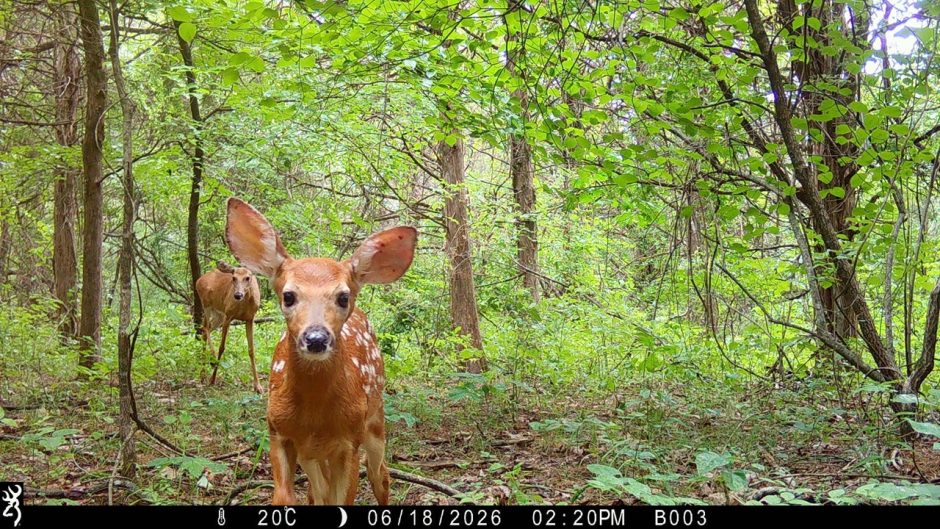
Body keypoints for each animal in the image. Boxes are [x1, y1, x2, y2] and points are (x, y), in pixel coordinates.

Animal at [196, 260, 263, 393]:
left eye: (248, 278)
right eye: (233, 278)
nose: (237, 295)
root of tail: (199, 280)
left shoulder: (250, 319)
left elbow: (251, 350)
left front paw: (258, 386)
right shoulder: (228, 315)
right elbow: (222, 347)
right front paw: (212, 379)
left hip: (218, 315)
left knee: (206, 329)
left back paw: (202, 375)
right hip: (207, 305)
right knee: (205, 328)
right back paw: (211, 362)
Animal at [224, 197, 417, 505]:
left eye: (343, 296)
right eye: (288, 296)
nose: (316, 338)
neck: (314, 417)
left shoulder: (349, 441)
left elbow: (342, 497)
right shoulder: (278, 431)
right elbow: (287, 497)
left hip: (375, 419)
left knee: (380, 474)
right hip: (313, 454)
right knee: (318, 491)